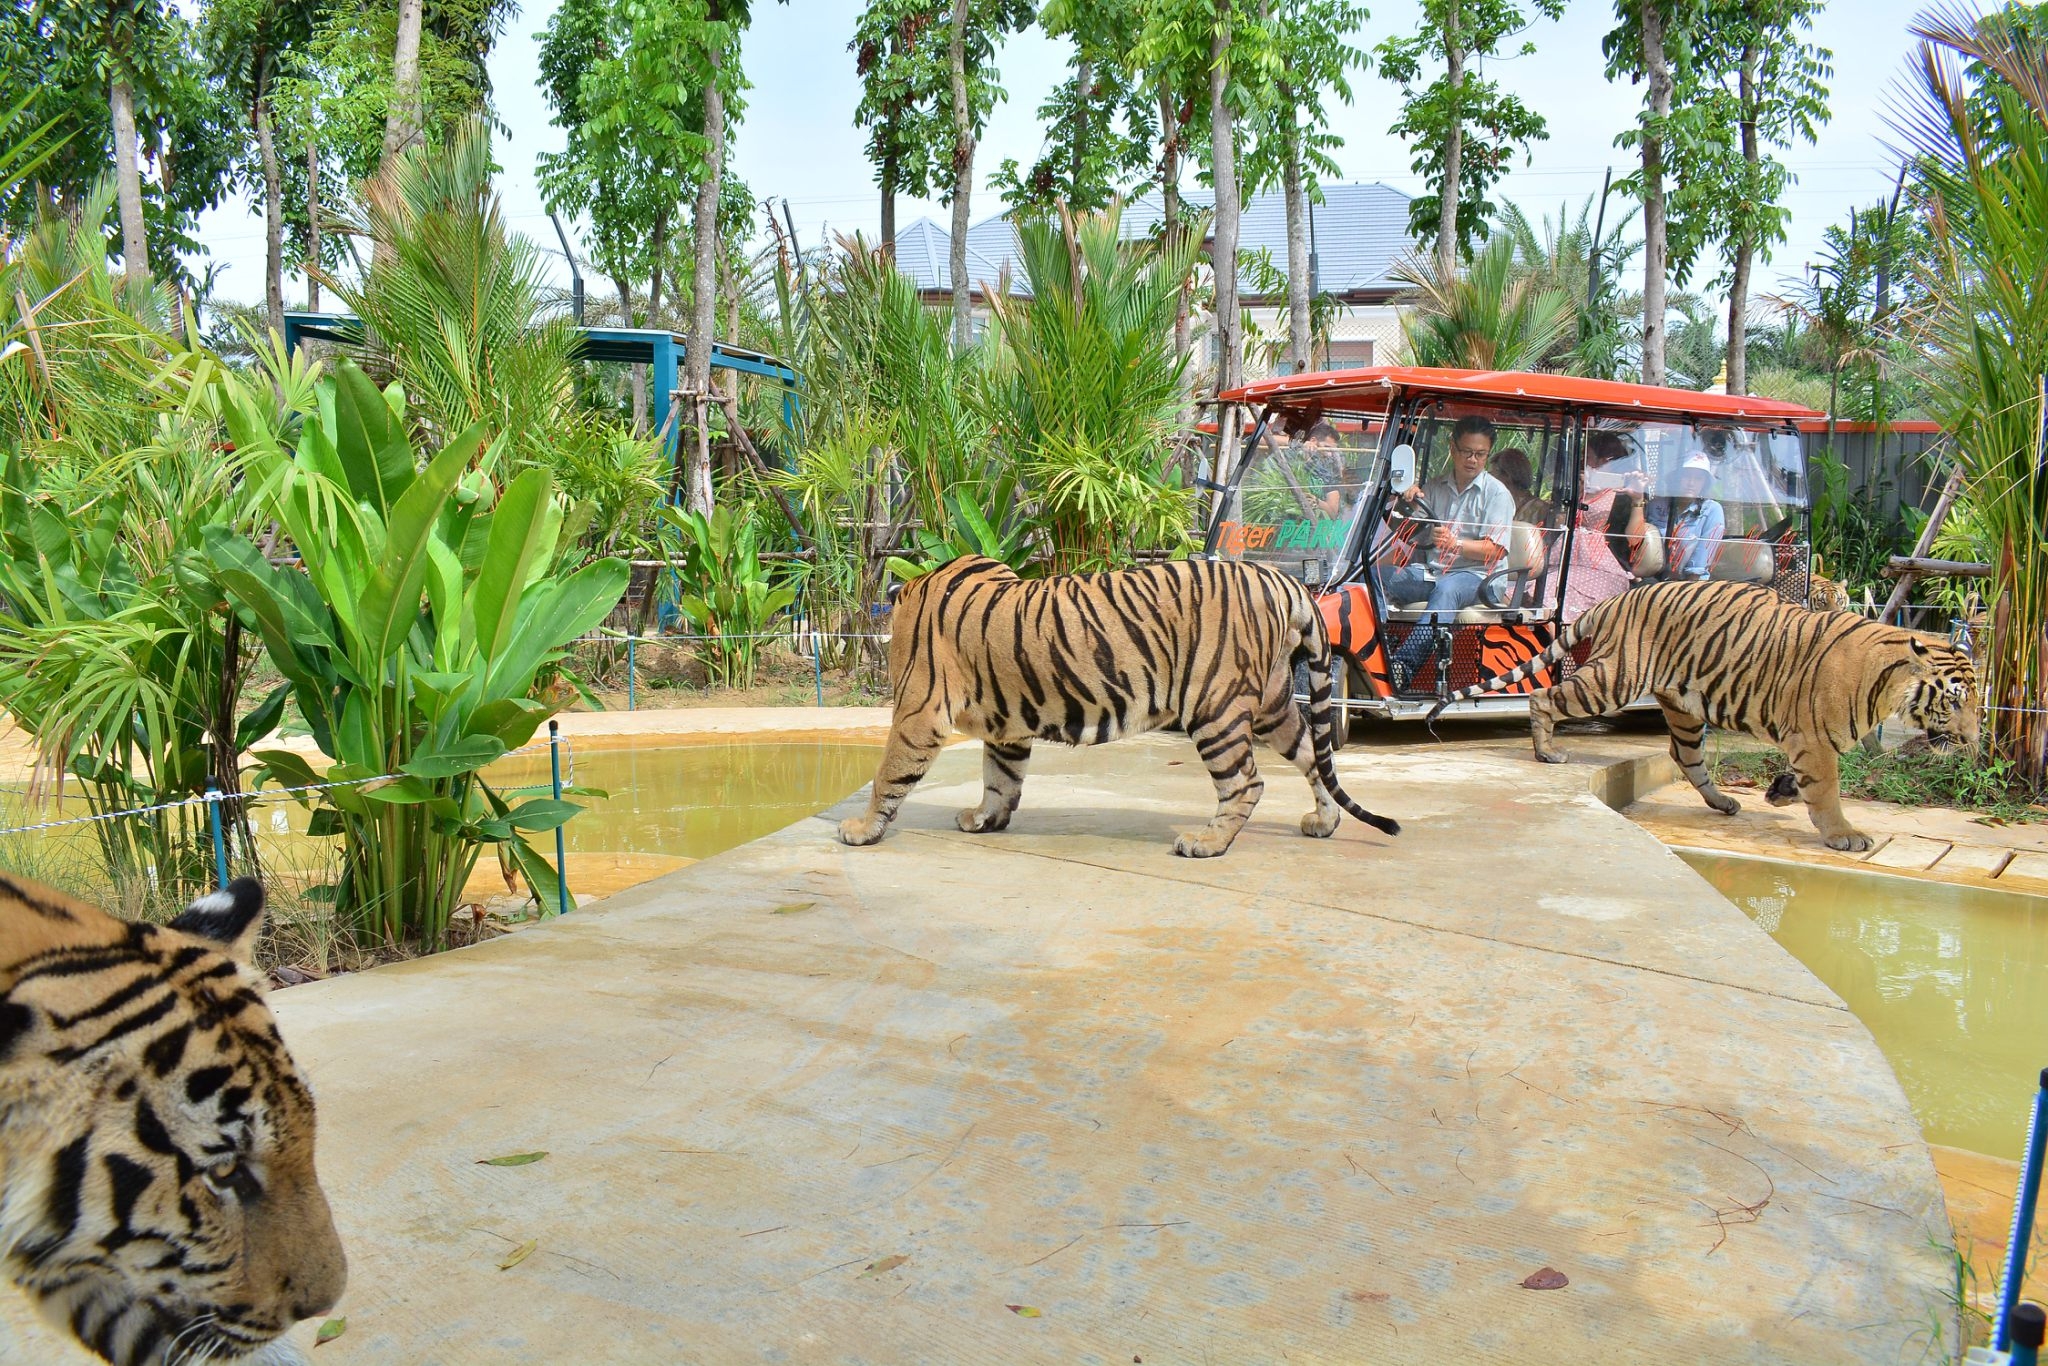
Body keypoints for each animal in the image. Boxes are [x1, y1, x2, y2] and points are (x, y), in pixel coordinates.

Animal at [836, 555, 1401, 858]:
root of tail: (1285, 580)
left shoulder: (918, 712)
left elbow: (888, 774)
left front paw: (861, 829)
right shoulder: (1007, 728)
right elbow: (1001, 778)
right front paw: (984, 818)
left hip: (1214, 706)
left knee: (1246, 782)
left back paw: (1206, 842)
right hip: (1273, 703)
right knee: (1315, 755)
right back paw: (1322, 823)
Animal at [1426, 580, 1979, 852]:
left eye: (1977, 701)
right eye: (1953, 700)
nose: (1974, 741)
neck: (1887, 686)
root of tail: (1618, 597)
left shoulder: (1805, 742)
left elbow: (1802, 780)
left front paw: (1780, 792)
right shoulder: (1815, 741)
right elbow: (1826, 793)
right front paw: (1844, 835)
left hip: (1686, 708)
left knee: (1685, 757)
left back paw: (1724, 803)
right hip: (1614, 680)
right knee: (1544, 697)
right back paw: (1547, 753)